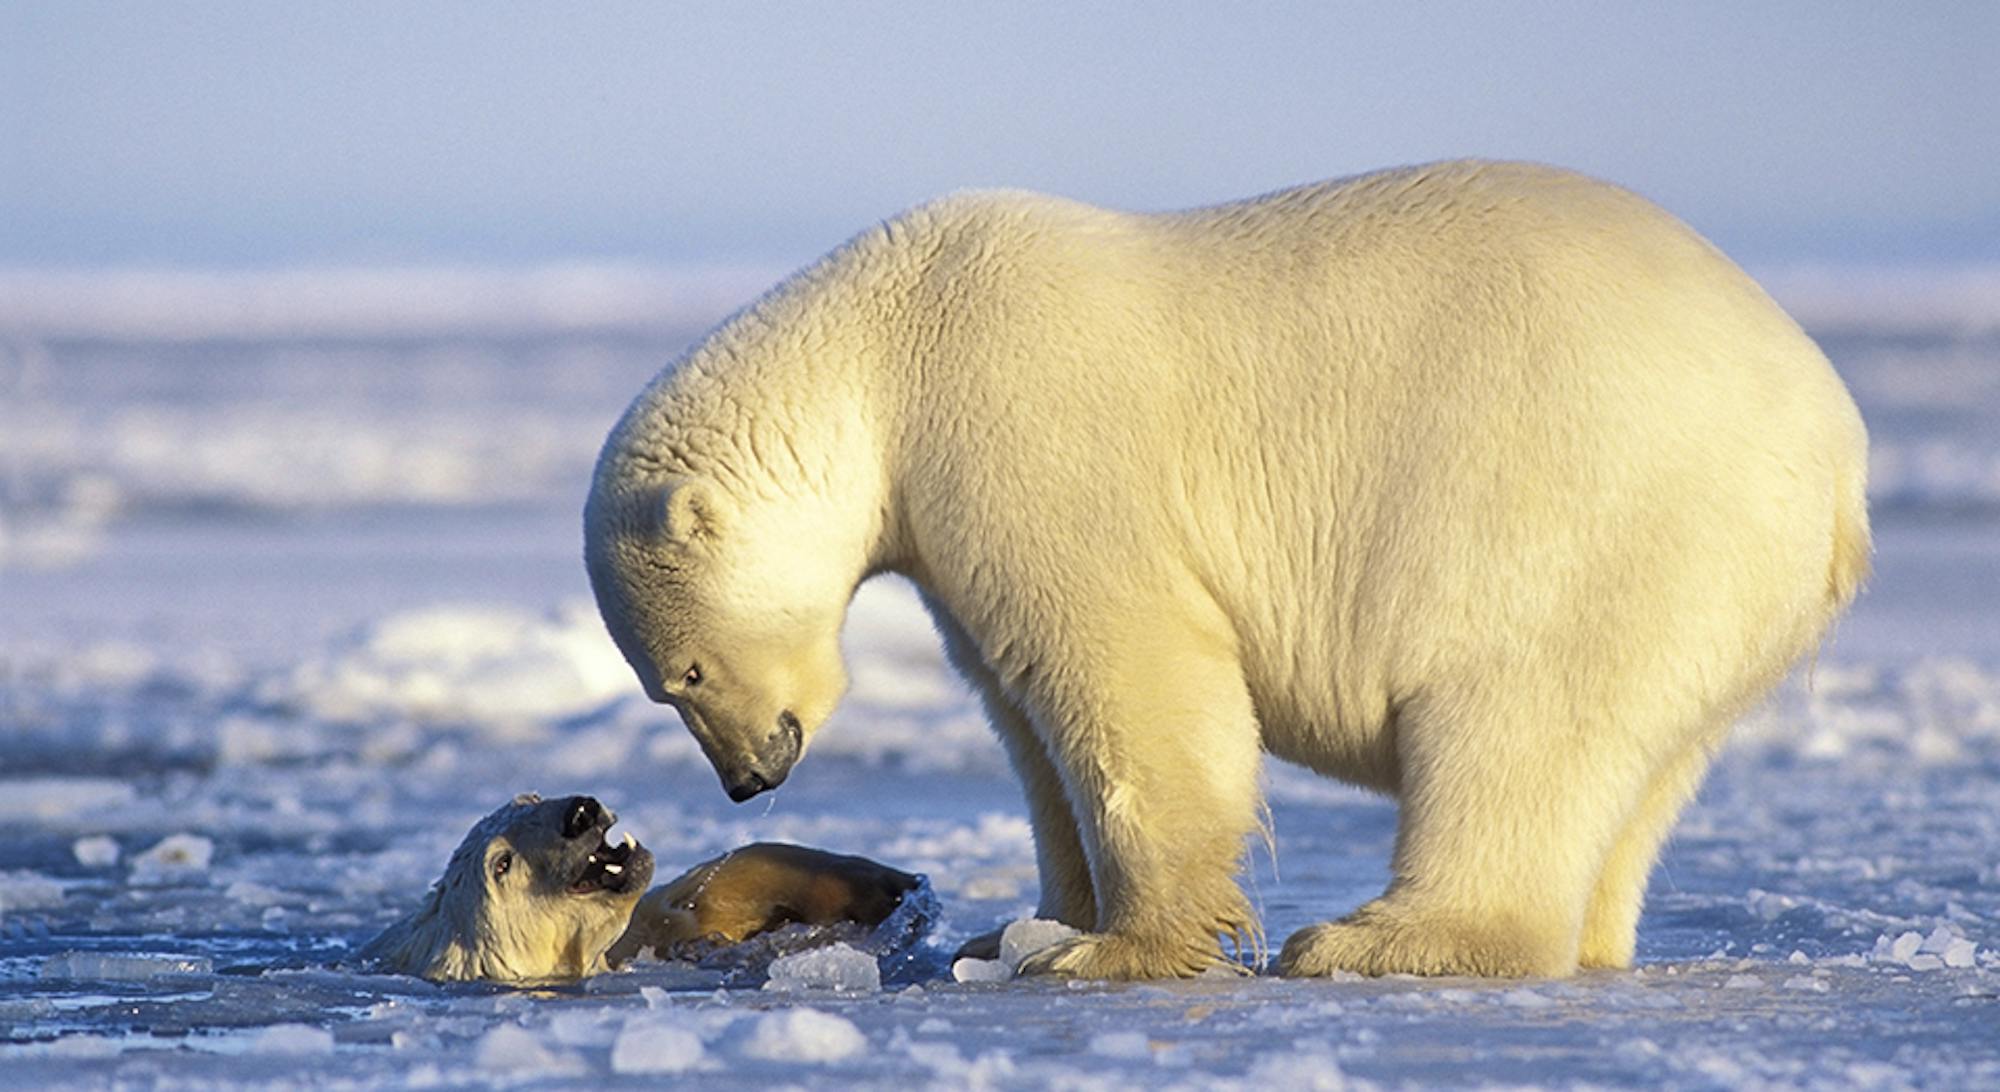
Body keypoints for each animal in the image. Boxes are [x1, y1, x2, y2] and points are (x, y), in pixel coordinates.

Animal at [584, 159, 1872, 976]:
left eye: (680, 676)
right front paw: (1013, 932)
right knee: (1637, 768)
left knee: (1516, 721)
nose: (749, 780)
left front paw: (1114, 949)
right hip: (1715, 596)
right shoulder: (947, 526)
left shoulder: (1021, 430)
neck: (888, 341)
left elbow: (1131, 670)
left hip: (1598, 516)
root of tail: (1839, 450)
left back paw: (1373, 939)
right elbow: (1023, 714)